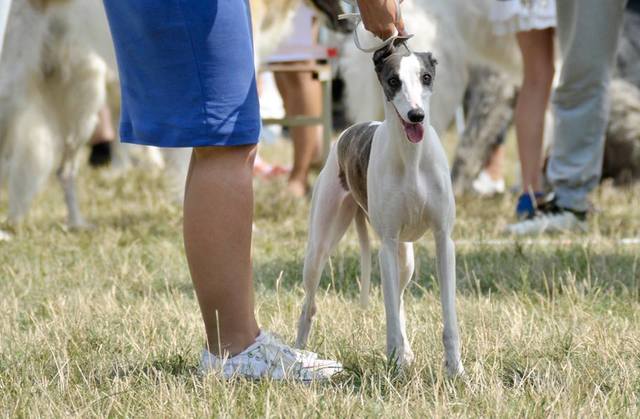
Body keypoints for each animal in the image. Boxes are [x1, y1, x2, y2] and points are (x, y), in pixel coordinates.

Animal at [296, 37, 464, 378]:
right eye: (393, 81)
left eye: (426, 77)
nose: (416, 115)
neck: (412, 159)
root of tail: (350, 129)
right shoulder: (386, 242)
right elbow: (389, 315)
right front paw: (395, 365)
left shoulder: (443, 240)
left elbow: (447, 315)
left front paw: (455, 369)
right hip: (320, 245)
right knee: (309, 304)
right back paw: (299, 352)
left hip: (405, 258)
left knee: (398, 296)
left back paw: (408, 352)